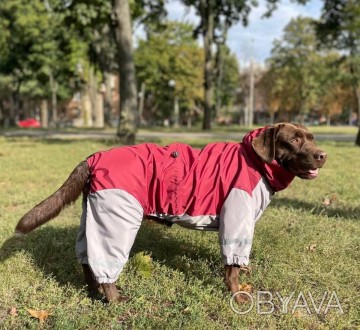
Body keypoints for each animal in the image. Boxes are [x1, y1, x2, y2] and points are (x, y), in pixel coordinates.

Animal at [15, 123, 328, 304]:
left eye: (312, 138)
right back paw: (115, 300)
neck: (255, 161)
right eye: (294, 140)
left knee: (86, 258)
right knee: (106, 261)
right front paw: (237, 296)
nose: (323, 155)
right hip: (117, 216)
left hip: (92, 213)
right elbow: (232, 268)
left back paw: (94, 292)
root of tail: (94, 157)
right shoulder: (236, 218)